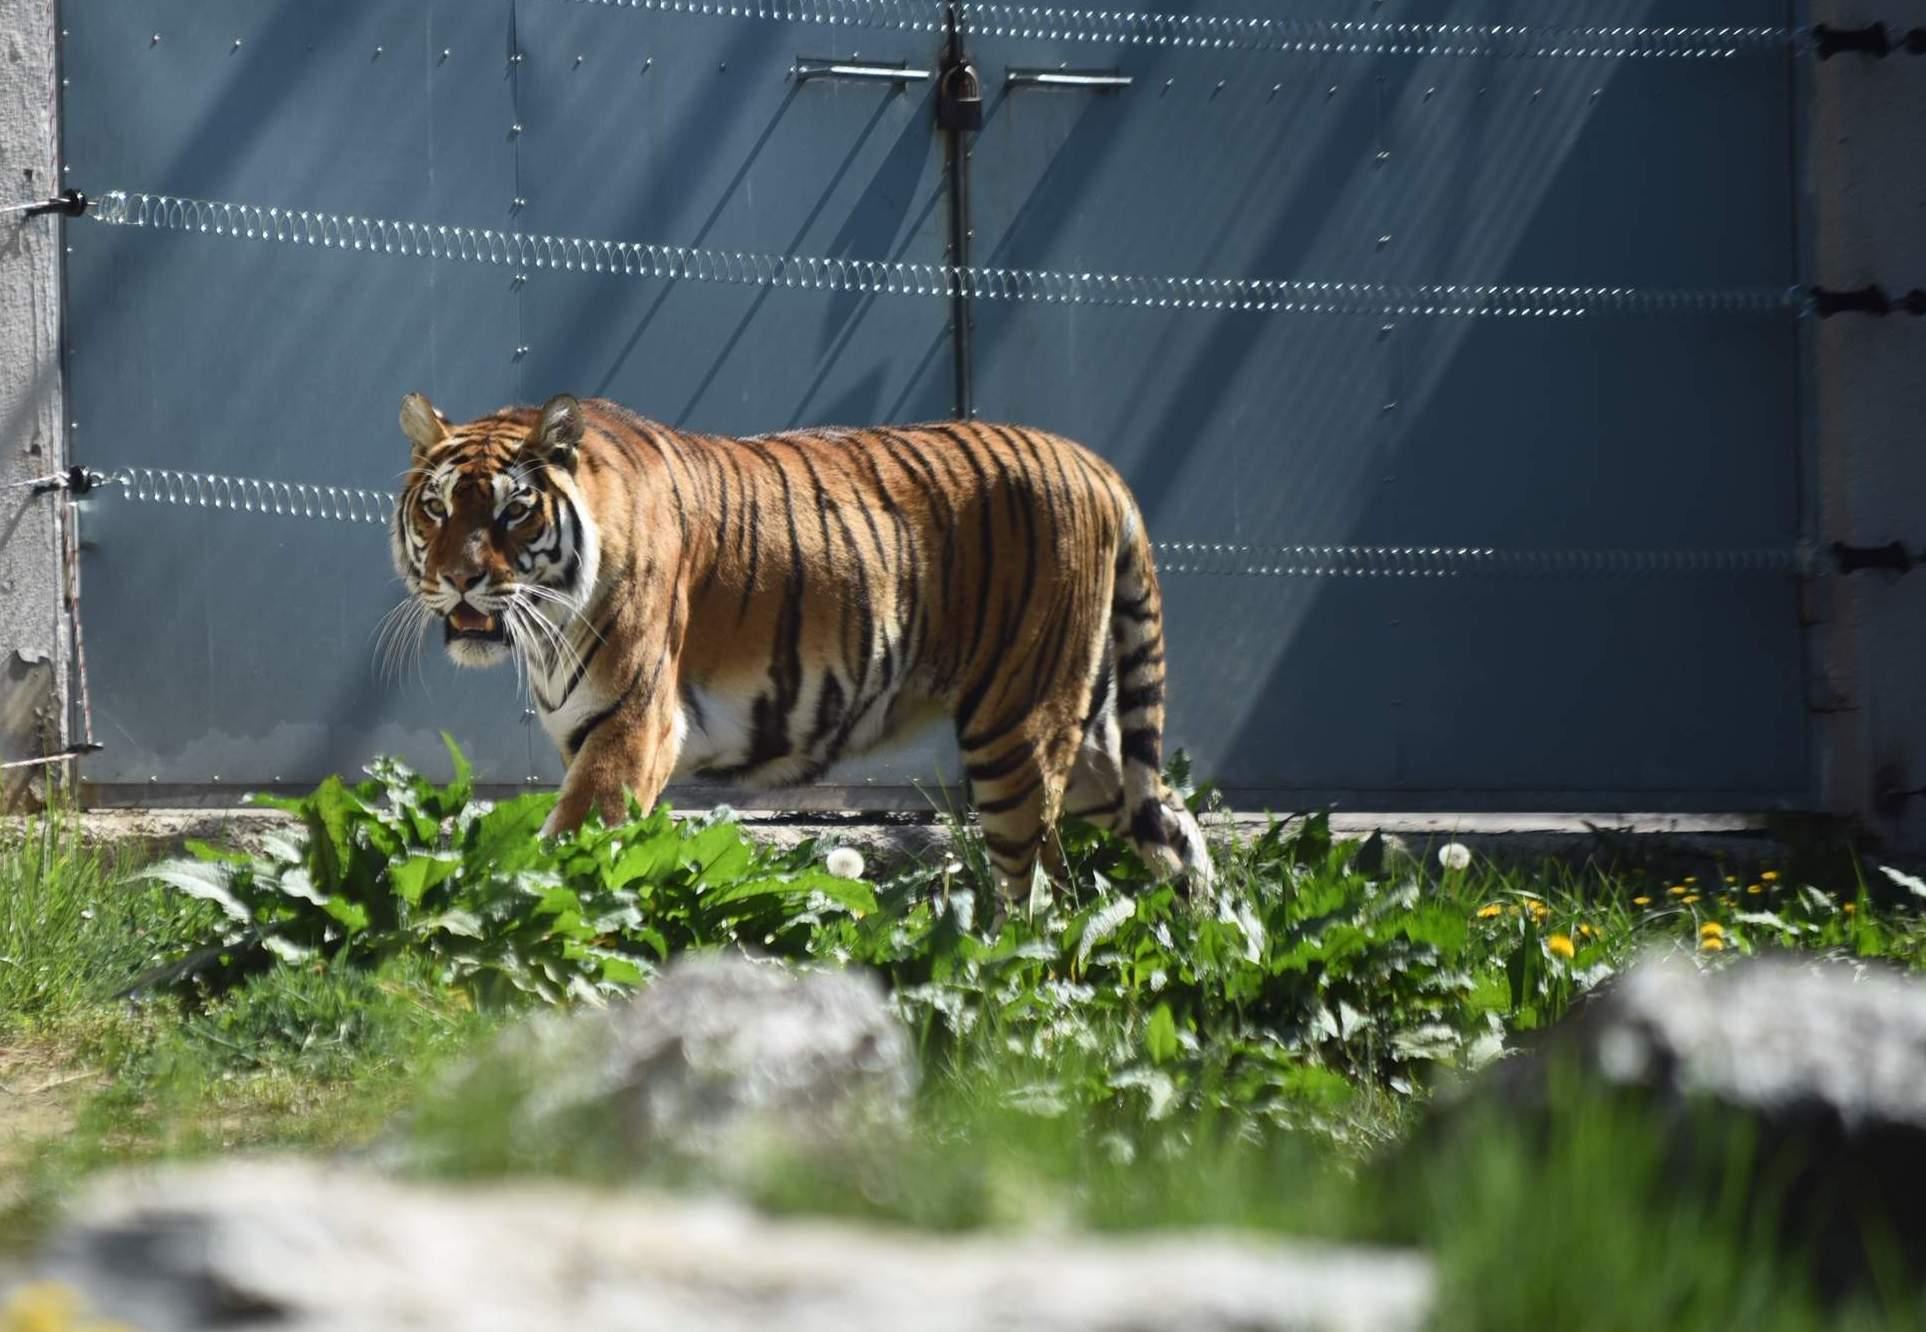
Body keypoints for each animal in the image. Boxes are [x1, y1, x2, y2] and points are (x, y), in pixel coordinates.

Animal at [385, 390, 1209, 900]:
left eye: (514, 511)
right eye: (437, 508)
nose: (457, 580)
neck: (545, 623)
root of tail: (1095, 465)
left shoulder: (631, 727)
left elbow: (568, 855)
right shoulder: (588, 735)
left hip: (1017, 731)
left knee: (1039, 890)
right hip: (1079, 729)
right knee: (1173, 826)